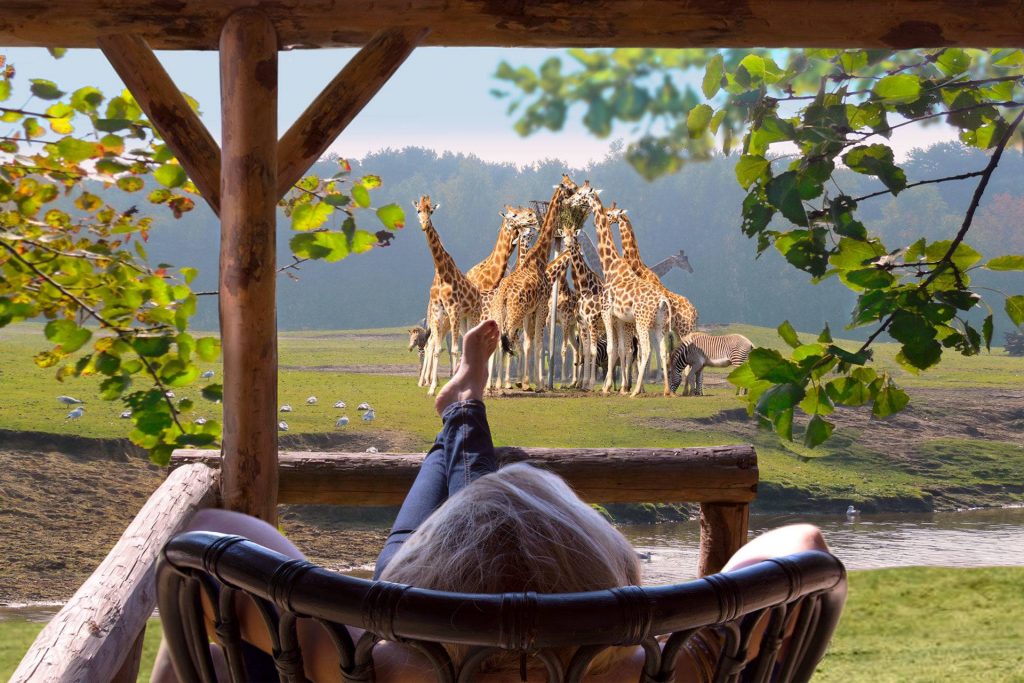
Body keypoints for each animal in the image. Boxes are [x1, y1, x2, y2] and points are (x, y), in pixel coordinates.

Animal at [413, 194, 481, 395]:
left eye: (431, 211)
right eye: (418, 210)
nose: (424, 224)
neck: (442, 272)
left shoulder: (454, 309)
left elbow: (454, 350)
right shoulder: (438, 312)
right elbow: (436, 349)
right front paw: (431, 388)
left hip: (472, 315)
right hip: (461, 321)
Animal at [581, 184, 675, 397]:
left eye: (582, 193)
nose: (577, 199)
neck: (610, 266)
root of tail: (663, 301)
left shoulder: (608, 313)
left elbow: (612, 349)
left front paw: (608, 387)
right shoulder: (621, 319)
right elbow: (621, 349)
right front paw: (620, 386)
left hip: (643, 321)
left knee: (647, 351)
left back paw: (637, 390)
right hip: (659, 324)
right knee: (662, 351)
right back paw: (666, 390)